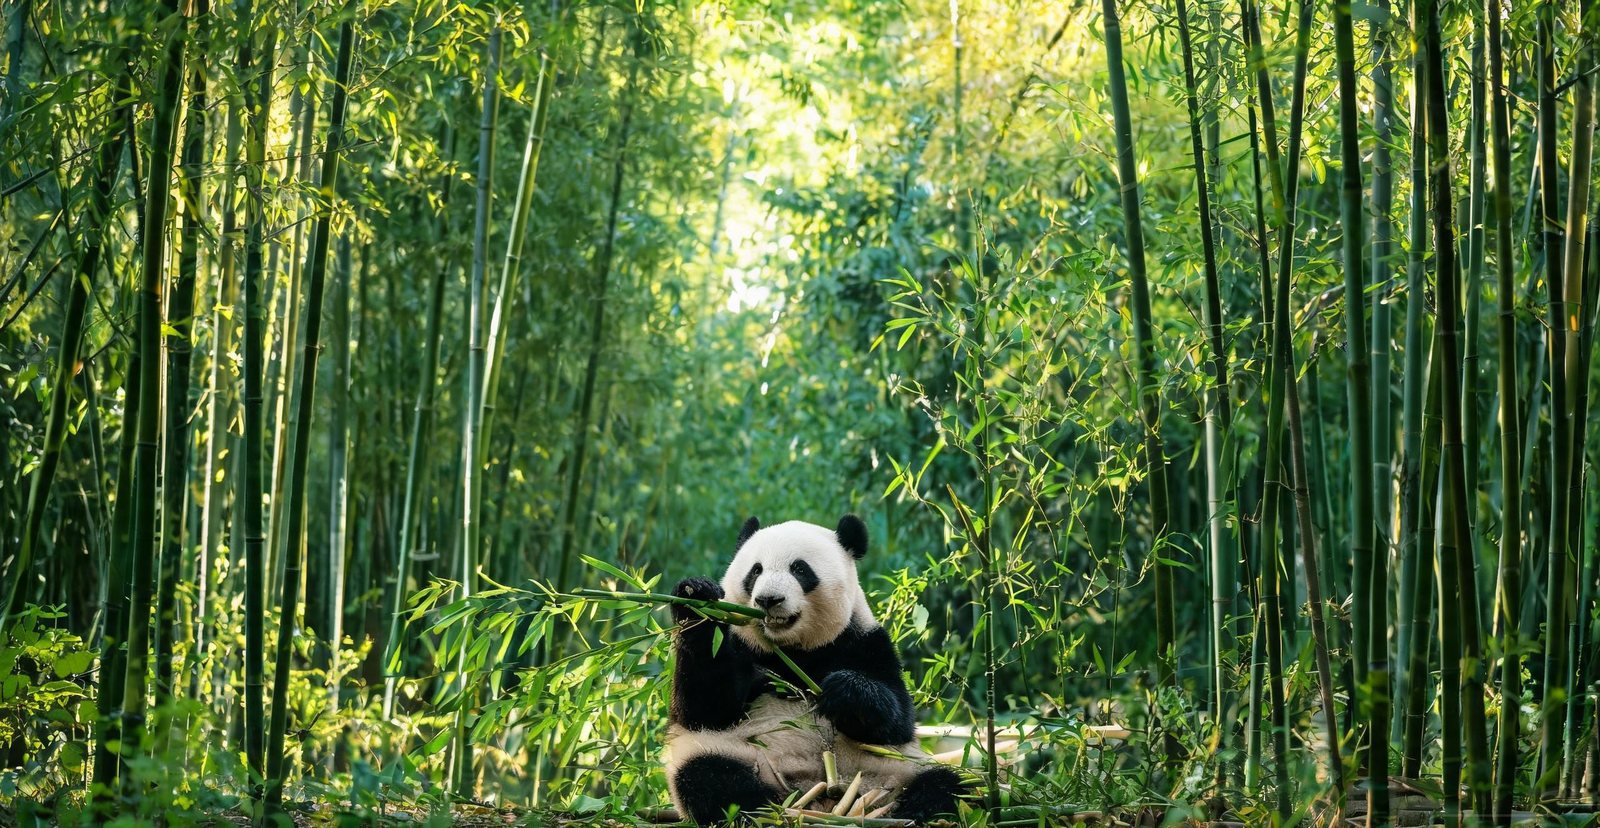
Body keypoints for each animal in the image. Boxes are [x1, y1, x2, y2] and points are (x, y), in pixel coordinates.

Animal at [664, 514, 966, 824]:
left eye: (799, 569)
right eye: (756, 571)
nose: (768, 600)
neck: (792, 650)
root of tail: (824, 799)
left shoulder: (864, 642)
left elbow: (897, 721)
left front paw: (845, 691)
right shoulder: (741, 644)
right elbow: (706, 708)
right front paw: (696, 598)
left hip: (893, 771)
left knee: (947, 785)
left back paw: (911, 812)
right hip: (741, 757)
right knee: (709, 776)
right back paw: (769, 810)